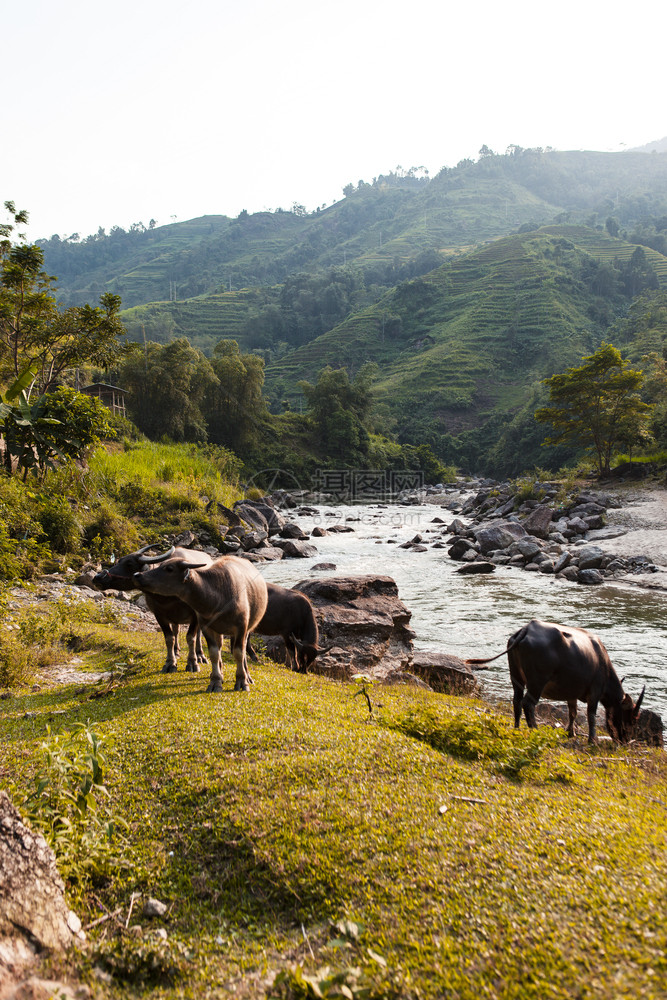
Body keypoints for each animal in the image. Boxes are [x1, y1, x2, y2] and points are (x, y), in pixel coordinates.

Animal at [92, 544, 213, 676]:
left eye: (129, 564)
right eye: (119, 561)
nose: (98, 577)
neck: (168, 595)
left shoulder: (195, 615)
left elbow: (191, 637)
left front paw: (192, 663)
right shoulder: (159, 615)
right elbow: (169, 638)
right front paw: (170, 663)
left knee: (199, 634)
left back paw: (200, 655)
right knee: (176, 630)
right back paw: (176, 651)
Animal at [132, 552, 268, 692]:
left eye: (169, 568)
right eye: (161, 565)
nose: (137, 575)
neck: (218, 598)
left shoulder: (241, 627)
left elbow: (239, 653)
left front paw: (242, 681)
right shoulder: (206, 627)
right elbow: (214, 653)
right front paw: (215, 681)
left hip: (247, 629)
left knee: (243, 650)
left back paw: (248, 677)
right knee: (219, 647)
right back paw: (221, 673)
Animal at [468, 616, 644, 744]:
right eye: (632, 718)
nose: (625, 740)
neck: (603, 664)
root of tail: (525, 630)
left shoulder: (572, 694)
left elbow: (573, 712)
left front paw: (571, 732)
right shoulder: (594, 692)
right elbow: (591, 716)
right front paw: (592, 740)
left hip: (516, 677)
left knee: (516, 701)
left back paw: (517, 728)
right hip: (537, 682)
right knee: (528, 703)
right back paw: (535, 729)